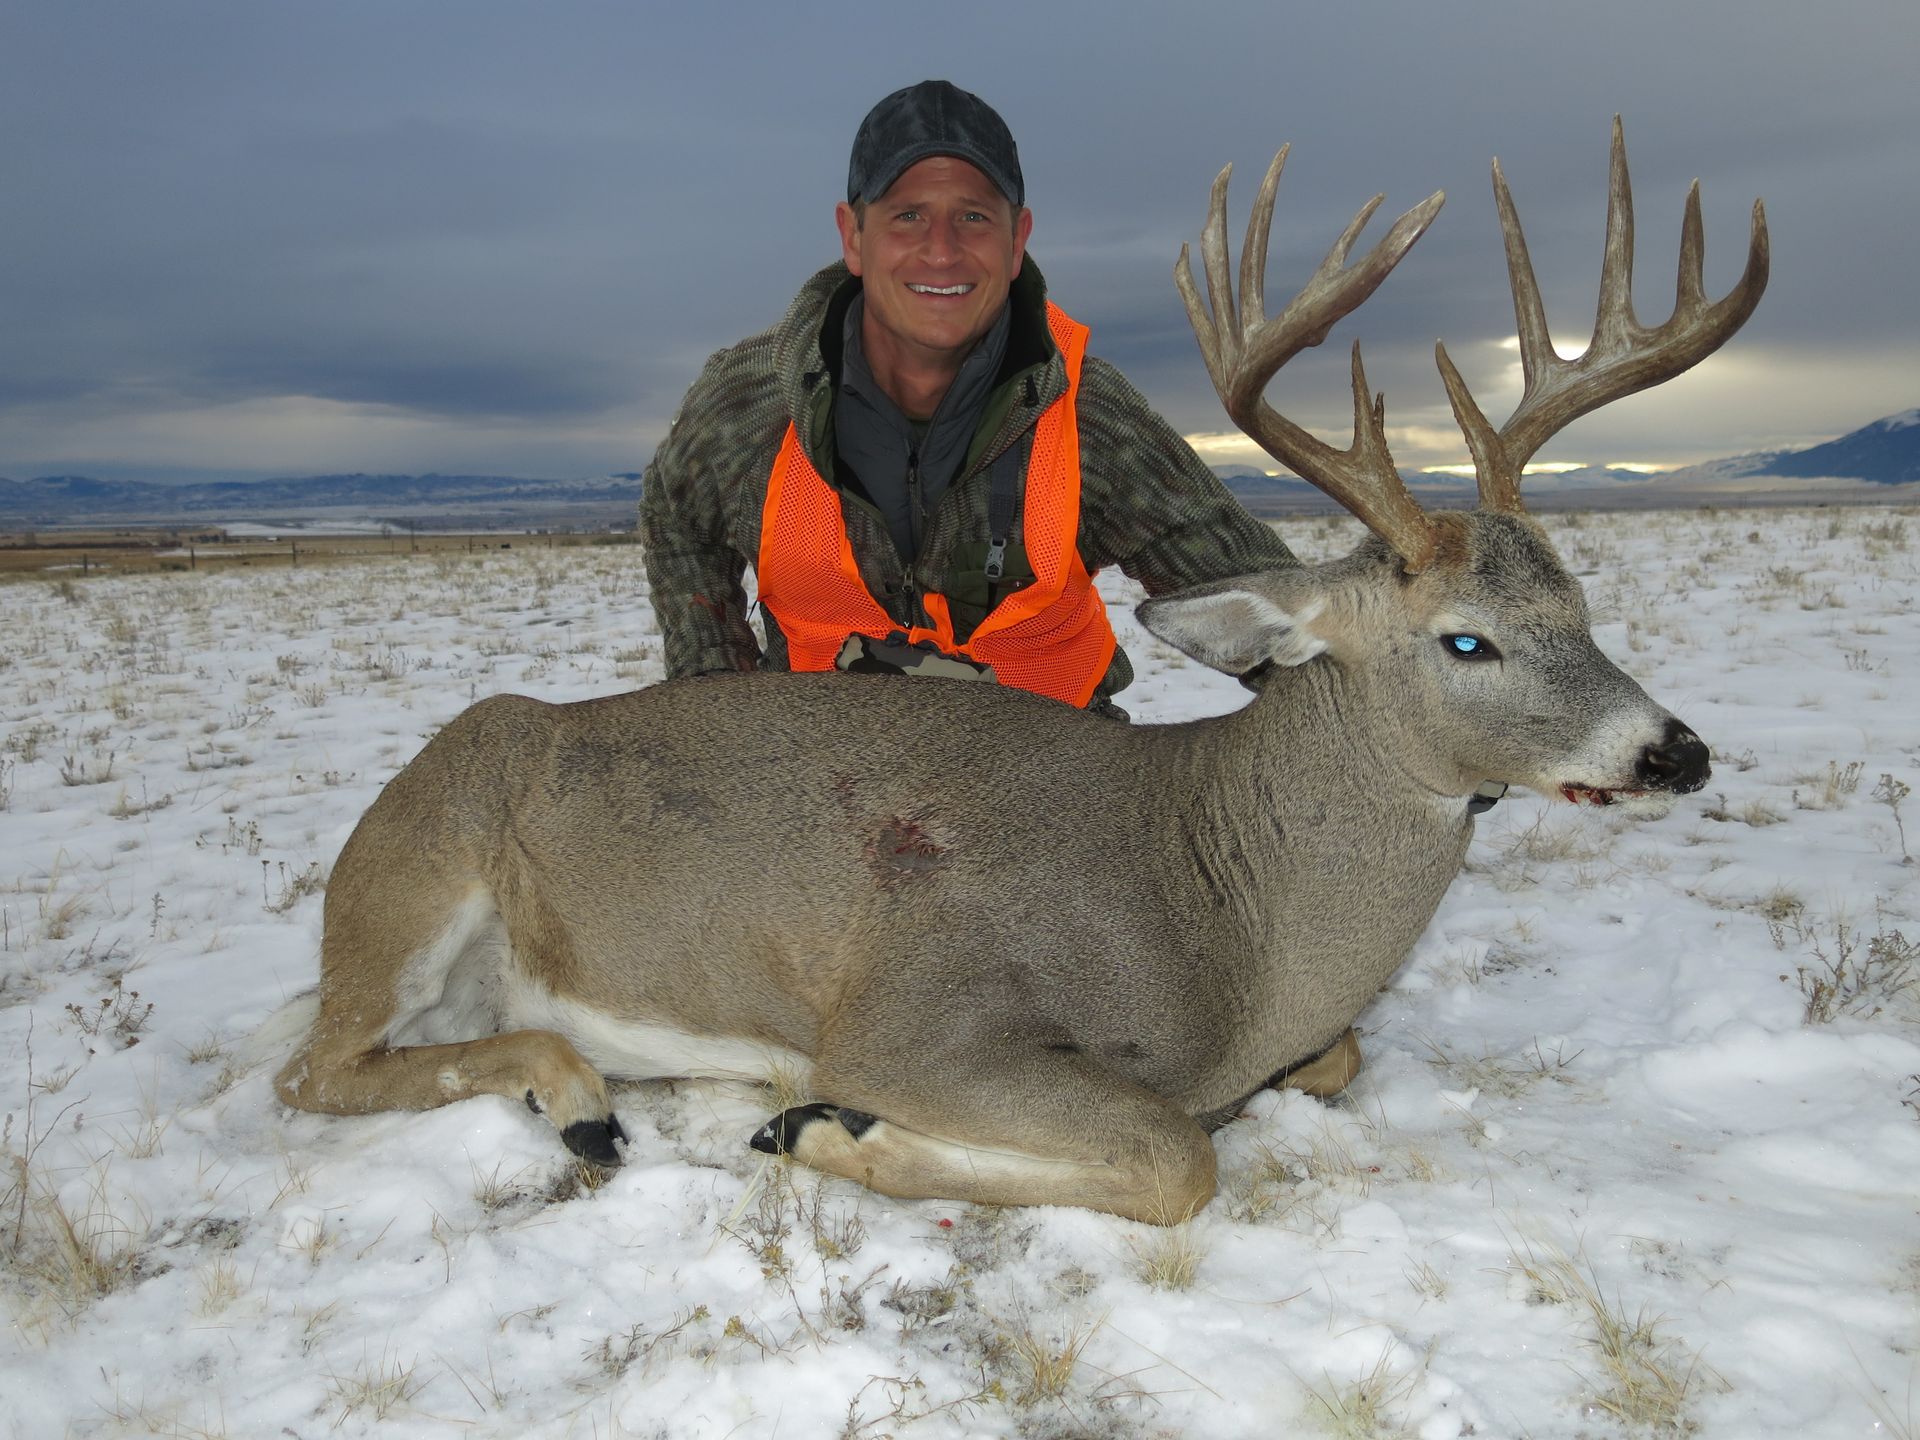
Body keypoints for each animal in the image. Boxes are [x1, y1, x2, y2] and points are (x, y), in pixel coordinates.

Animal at [273, 120, 1767, 1224]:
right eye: (1466, 637)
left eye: (1581, 600)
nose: (1676, 750)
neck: (1223, 918)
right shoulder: (915, 1019)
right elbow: (1174, 1155)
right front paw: (821, 1132)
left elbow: (1314, 1069)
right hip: (416, 875)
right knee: (312, 1069)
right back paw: (580, 1099)